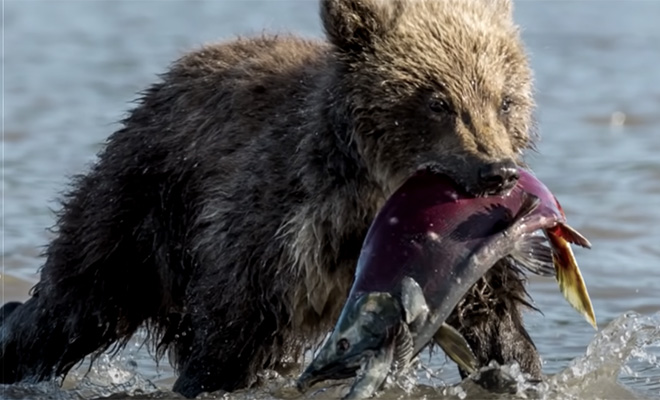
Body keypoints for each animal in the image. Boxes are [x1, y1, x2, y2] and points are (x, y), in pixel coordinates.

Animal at [0, 0, 540, 398]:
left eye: (505, 100)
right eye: (438, 101)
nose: (497, 172)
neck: (375, 198)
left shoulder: (460, 248)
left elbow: (494, 324)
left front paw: (518, 368)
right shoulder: (279, 229)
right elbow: (230, 336)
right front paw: (203, 379)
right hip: (142, 202)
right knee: (73, 303)